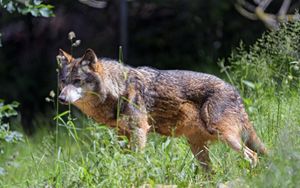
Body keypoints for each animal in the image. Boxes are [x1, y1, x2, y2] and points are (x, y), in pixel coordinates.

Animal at [56, 48, 268, 170]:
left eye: (78, 81)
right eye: (63, 81)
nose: (61, 98)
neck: (117, 89)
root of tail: (235, 91)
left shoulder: (140, 131)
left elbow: (137, 160)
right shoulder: (121, 134)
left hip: (226, 137)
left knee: (254, 157)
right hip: (198, 148)